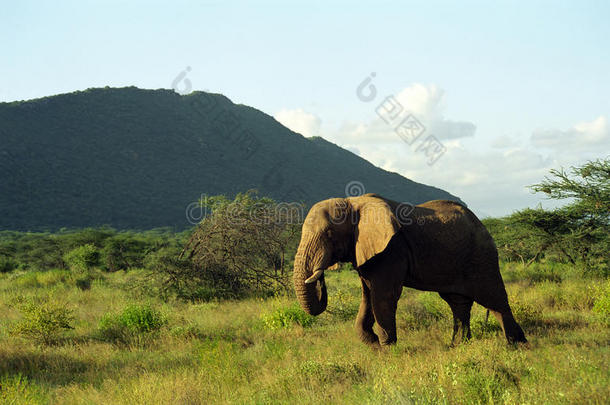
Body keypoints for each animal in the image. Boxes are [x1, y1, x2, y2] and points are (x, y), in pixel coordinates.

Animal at [292, 194, 524, 346]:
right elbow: (367, 295)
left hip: (481, 255)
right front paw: (373, 343)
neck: (354, 202)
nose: (320, 277)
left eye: (329, 234)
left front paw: (387, 350)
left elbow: (383, 295)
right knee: (458, 303)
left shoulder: (392, 250)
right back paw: (458, 346)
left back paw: (516, 345)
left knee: (494, 299)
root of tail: (482, 223)